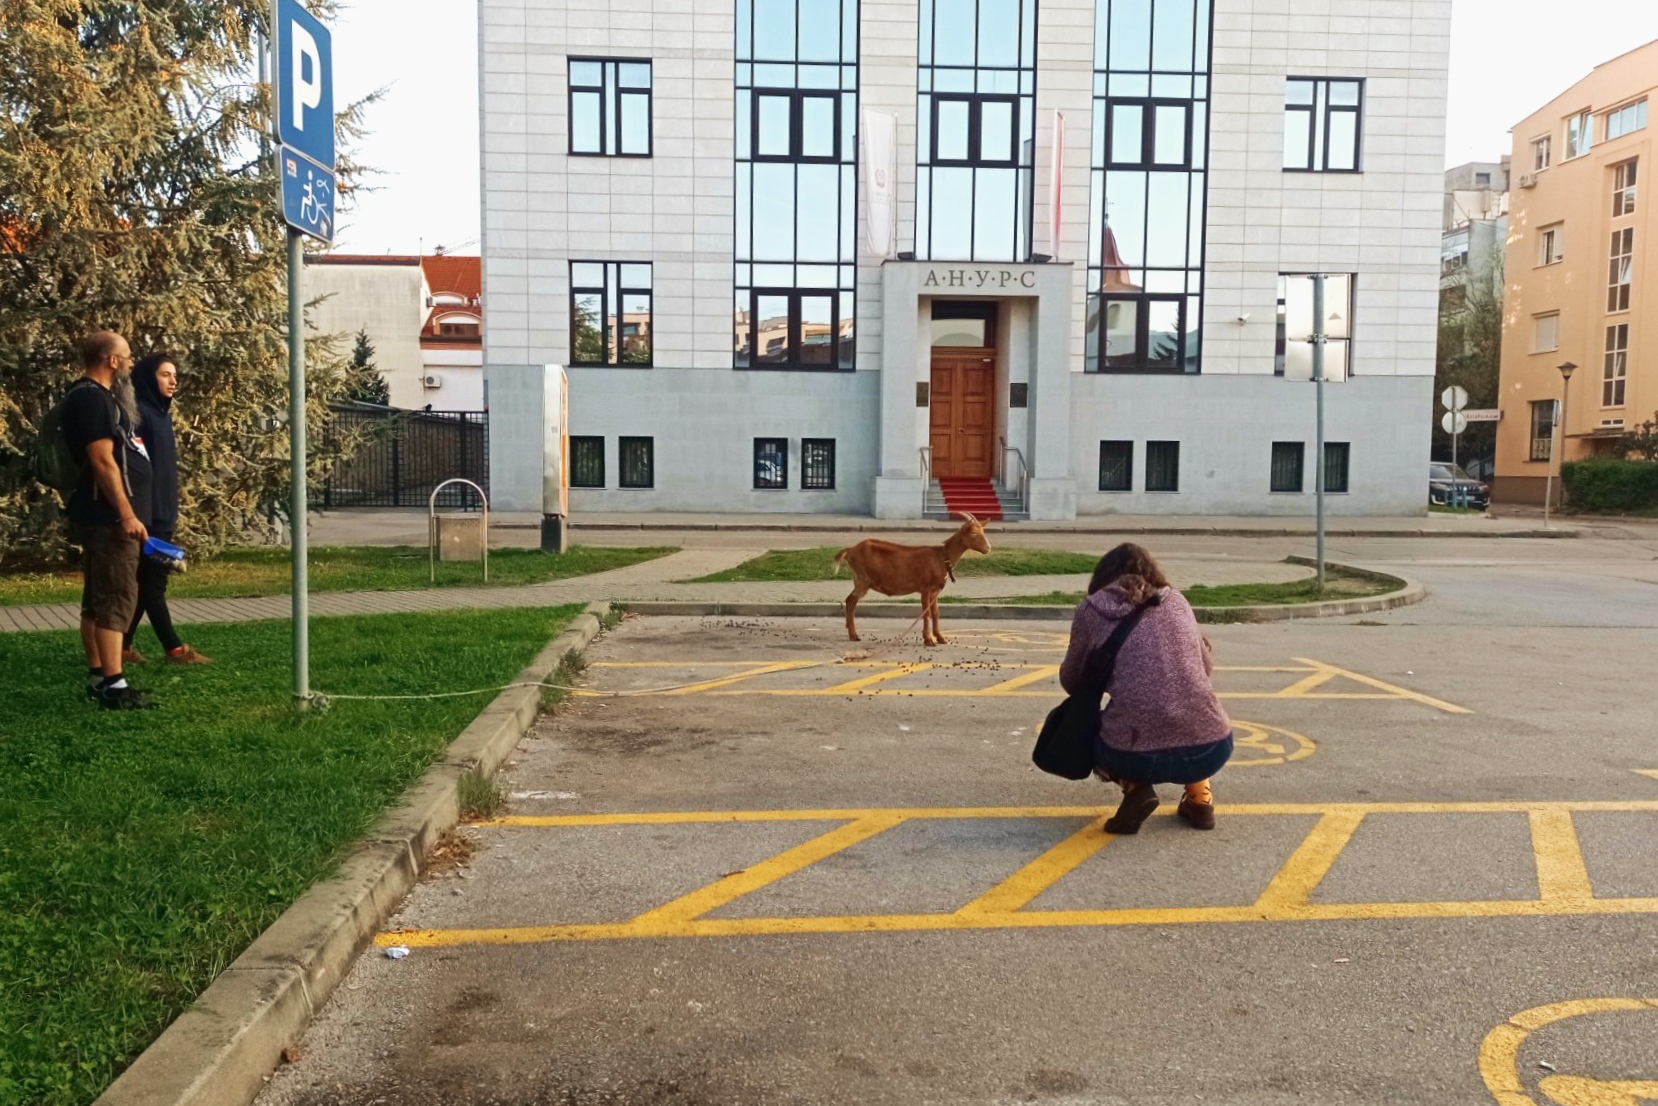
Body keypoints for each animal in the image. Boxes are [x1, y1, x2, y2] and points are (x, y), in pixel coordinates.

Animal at [825, 514, 981, 643]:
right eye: (973, 532)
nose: (986, 548)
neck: (941, 556)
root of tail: (850, 550)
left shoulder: (935, 591)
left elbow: (936, 613)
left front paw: (940, 638)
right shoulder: (925, 589)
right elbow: (926, 613)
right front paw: (928, 639)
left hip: (858, 579)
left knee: (852, 601)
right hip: (863, 579)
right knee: (850, 600)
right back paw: (853, 635)